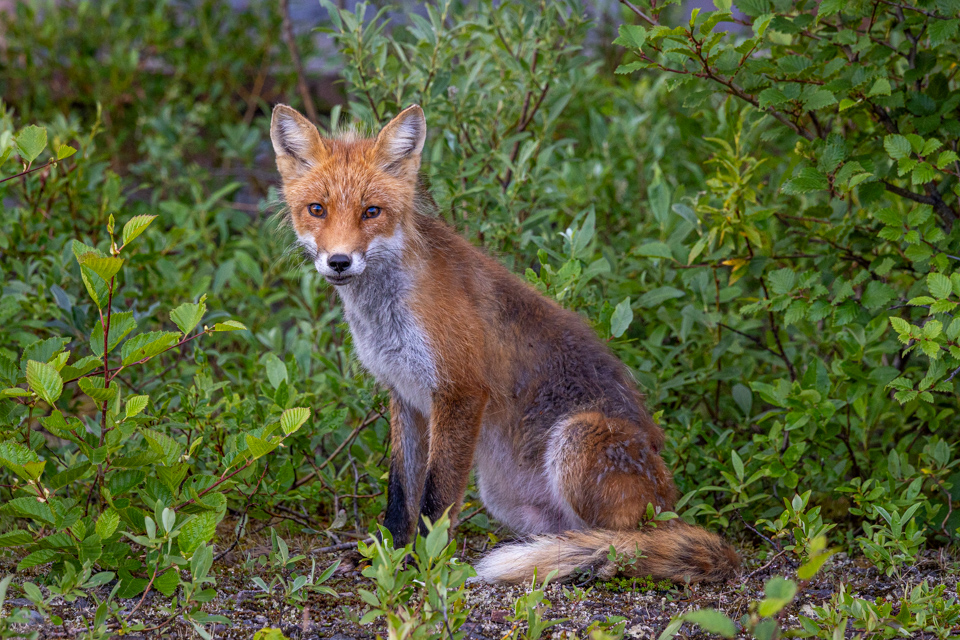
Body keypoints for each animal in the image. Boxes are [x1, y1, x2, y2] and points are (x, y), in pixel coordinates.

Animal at [269, 103, 739, 584]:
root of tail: (671, 506)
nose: (339, 262)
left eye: (371, 212)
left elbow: (436, 500)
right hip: (504, 496)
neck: (386, 314)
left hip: (577, 439)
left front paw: (425, 565)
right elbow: (401, 493)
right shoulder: (404, 393)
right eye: (317, 209)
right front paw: (388, 559)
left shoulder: (460, 390)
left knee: (627, 542)